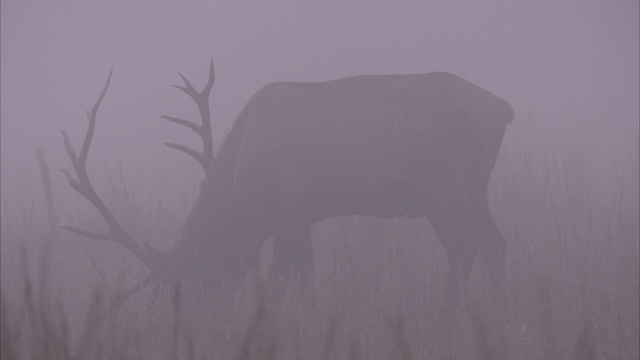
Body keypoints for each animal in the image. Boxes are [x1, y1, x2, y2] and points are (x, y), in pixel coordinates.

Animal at [62, 59, 512, 306]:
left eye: (190, 278)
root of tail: (503, 110)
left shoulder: (290, 211)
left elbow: (299, 278)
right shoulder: (293, 218)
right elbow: (287, 277)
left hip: (447, 190)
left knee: (472, 248)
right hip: (470, 191)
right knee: (490, 244)